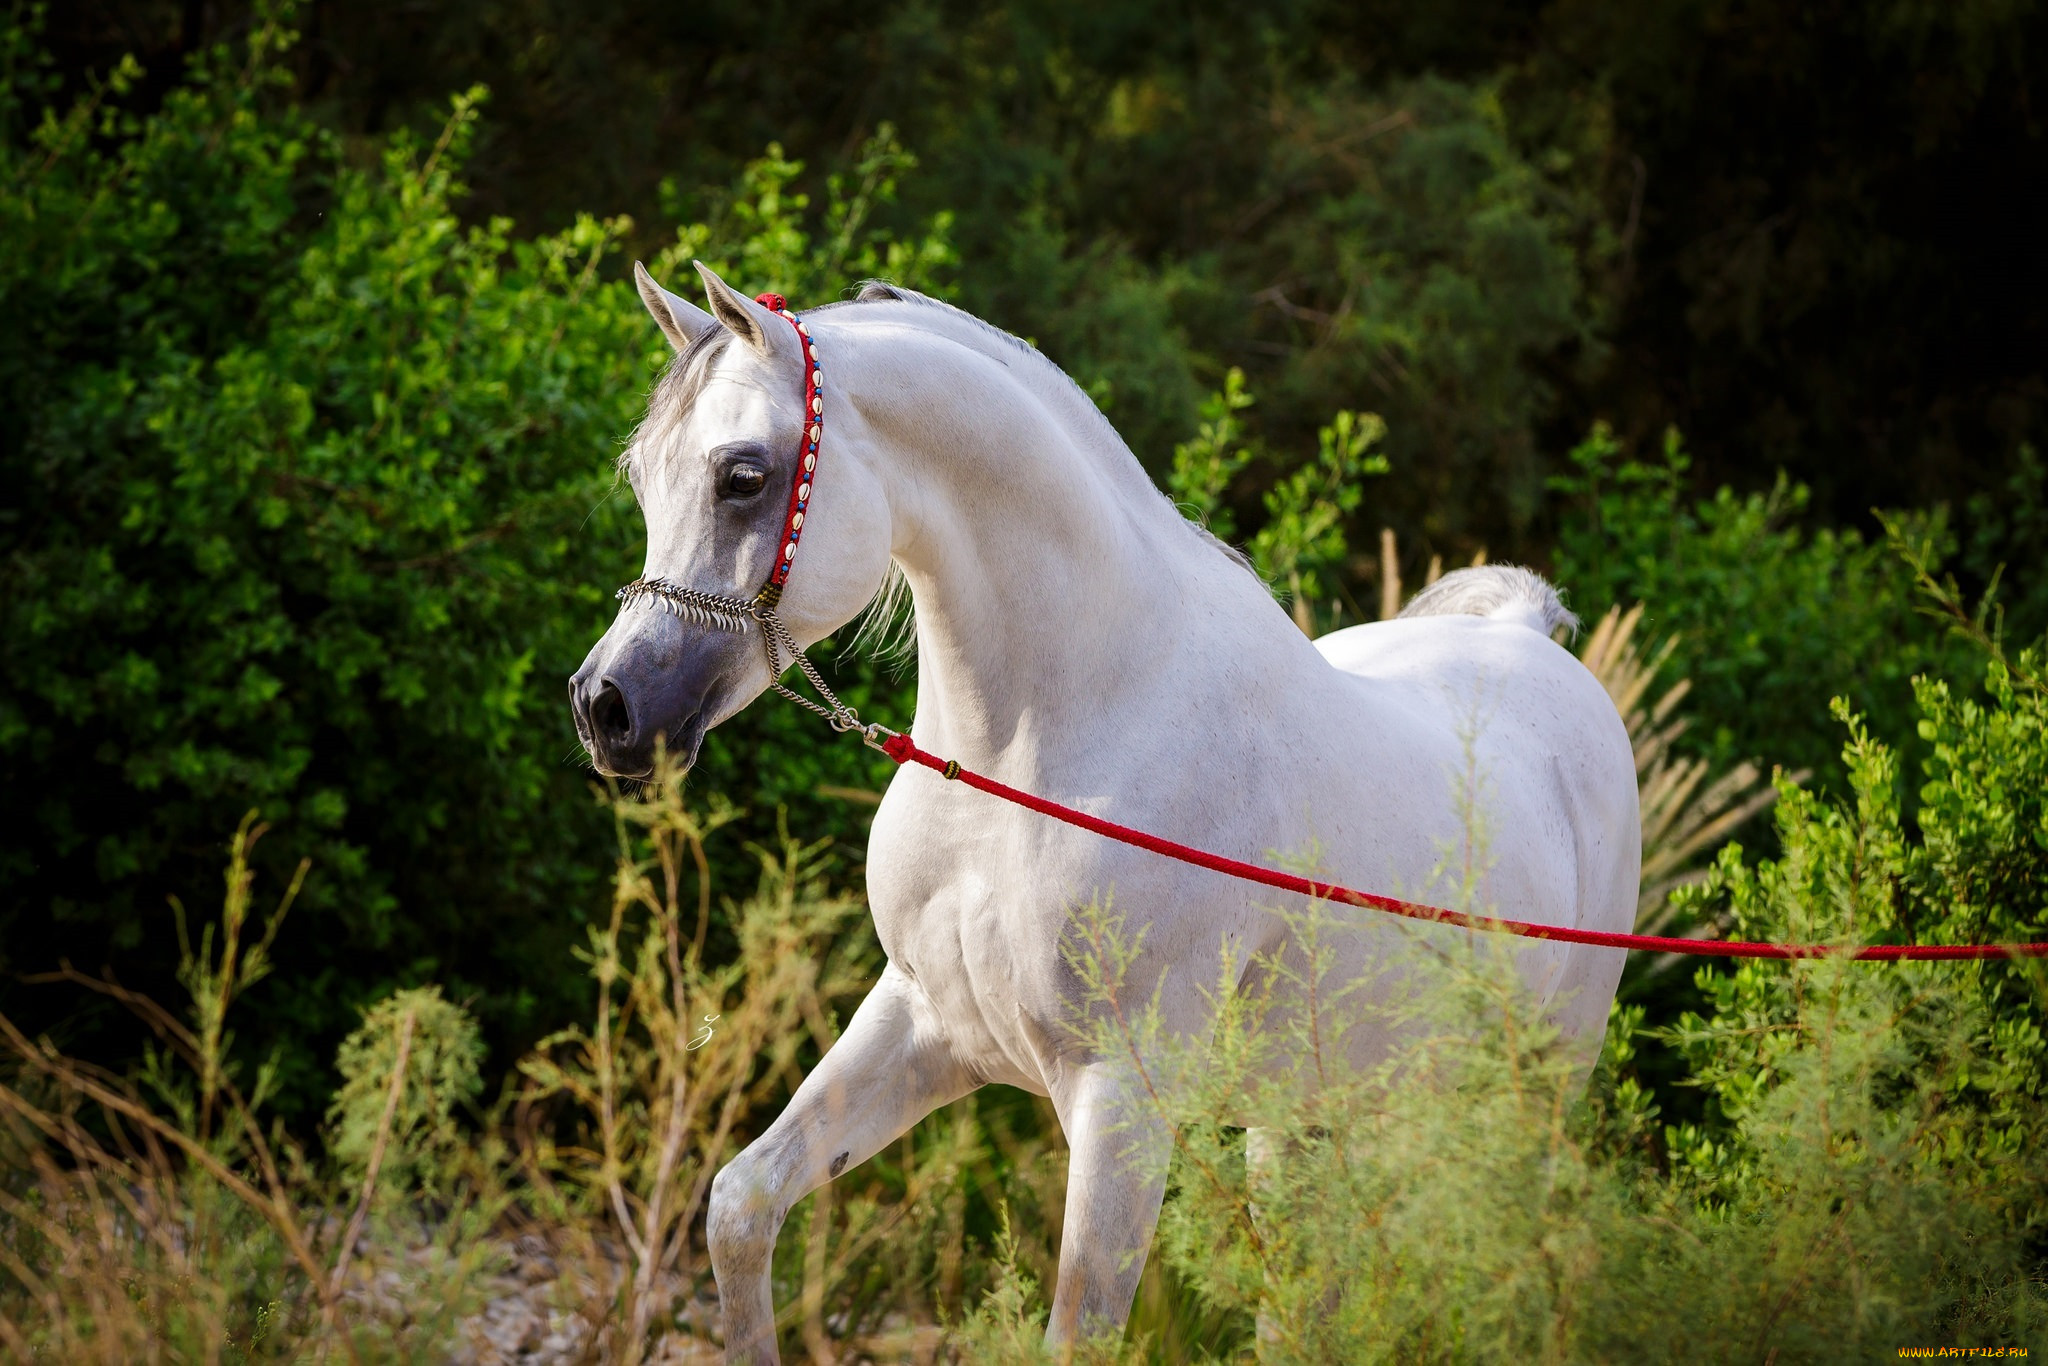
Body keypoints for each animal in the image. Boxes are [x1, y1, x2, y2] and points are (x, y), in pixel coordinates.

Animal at [569, 262, 1638, 1359]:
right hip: (1301, 1117)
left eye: (742, 476)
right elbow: (741, 1206)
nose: (607, 708)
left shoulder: (1122, 1095)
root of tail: (1526, 637)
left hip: (1540, 1086)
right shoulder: (922, 1022)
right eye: (641, 476)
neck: (1044, 746)